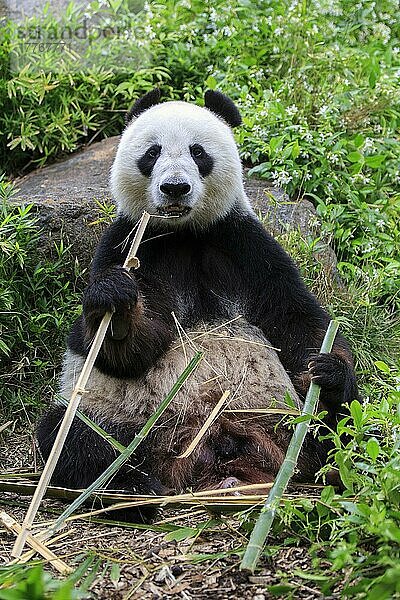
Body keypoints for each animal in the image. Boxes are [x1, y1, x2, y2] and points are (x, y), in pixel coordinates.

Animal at [36, 90, 356, 520]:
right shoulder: (131, 244)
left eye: (198, 152)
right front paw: (116, 304)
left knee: (341, 423)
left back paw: (334, 452)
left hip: (284, 419)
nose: (175, 188)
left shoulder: (243, 244)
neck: (184, 233)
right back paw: (131, 491)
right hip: (127, 422)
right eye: (152, 153)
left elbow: (295, 317)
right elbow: (125, 352)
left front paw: (326, 367)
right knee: (71, 436)